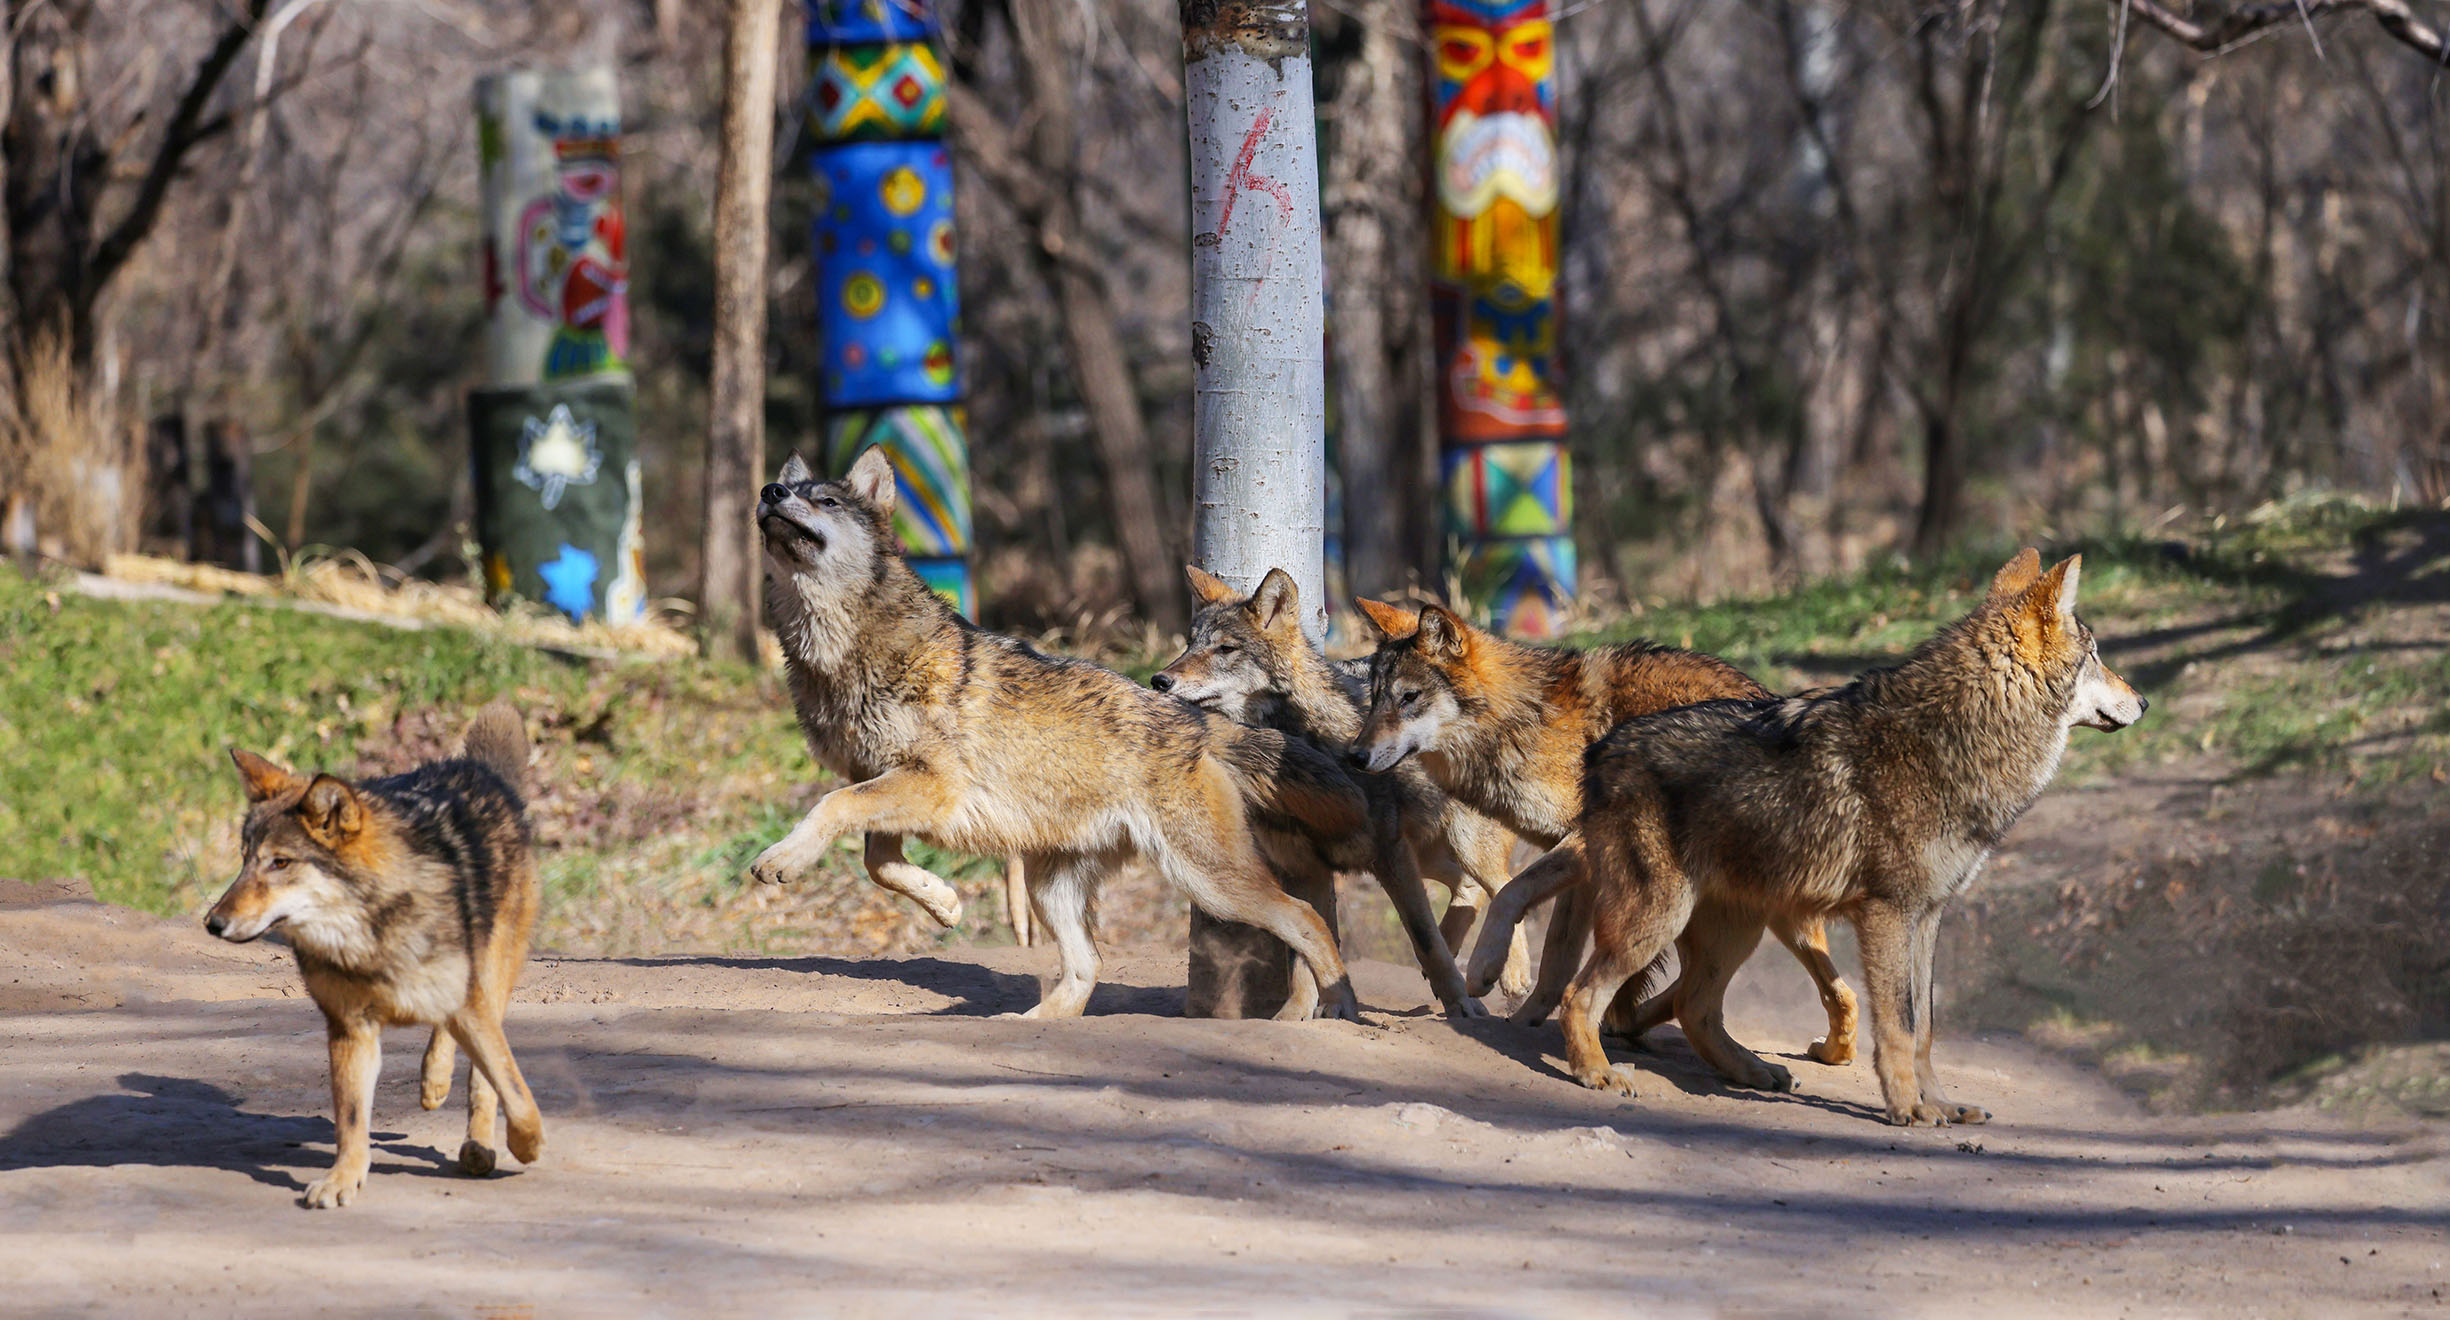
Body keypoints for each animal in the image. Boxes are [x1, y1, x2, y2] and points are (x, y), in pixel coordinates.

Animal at [205, 703, 545, 1208]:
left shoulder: (468, 1003)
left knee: (482, 1069)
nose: (213, 922)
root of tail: (476, 770)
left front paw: (528, 1145)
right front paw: (341, 1180)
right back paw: (434, 1083)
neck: (368, 937)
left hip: (489, 971)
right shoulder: (350, 1028)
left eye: (280, 863)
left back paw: (476, 1141)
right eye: (244, 860)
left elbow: (516, 1093)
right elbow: (350, 1121)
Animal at [747, 449, 1370, 1021]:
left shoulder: (930, 786)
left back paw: (1331, 1007)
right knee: (1086, 967)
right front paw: (945, 904)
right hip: (1052, 887)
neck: (841, 654)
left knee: (1306, 918)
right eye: (789, 490)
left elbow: (830, 807)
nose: (770, 491)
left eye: (826, 501)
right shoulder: (884, 782)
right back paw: (1025, 1024)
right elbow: (879, 864)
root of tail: (1200, 724)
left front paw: (781, 859)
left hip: (1208, 883)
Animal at [1152, 564, 1531, 1011]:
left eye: (1226, 649)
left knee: (1504, 884)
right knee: (1469, 887)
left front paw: (1461, 1006)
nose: (1159, 680)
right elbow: (1307, 945)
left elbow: (1423, 939)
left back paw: (1509, 975)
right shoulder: (1305, 866)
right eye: (1189, 644)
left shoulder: (1388, 852)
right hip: (1427, 852)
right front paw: (1300, 1014)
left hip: (1465, 845)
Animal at [1348, 598, 1860, 1080]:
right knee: (1835, 992)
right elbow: (1557, 960)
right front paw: (1527, 1022)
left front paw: (1487, 969)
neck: (1527, 722)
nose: (1355, 756)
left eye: (1409, 697)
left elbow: (1511, 894)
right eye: (1374, 700)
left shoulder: (1581, 841)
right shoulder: (1582, 870)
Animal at [1560, 550, 2145, 1124]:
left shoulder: (1927, 916)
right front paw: (1909, 1108)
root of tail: (1600, 752)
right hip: (1660, 920)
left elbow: (1924, 1028)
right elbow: (1899, 1026)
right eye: (2095, 656)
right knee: (1580, 996)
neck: (1955, 735)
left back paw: (1754, 1073)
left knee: (1694, 1009)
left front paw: (1942, 1104)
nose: (2143, 702)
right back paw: (1597, 1073)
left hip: (1737, 931)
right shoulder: (1888, 914)